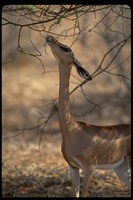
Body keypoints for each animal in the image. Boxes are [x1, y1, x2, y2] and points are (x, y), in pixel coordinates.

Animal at [45, 35, 130, 196]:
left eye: (66, 48)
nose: (49, 37)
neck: (72, 130)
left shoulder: (89, 167)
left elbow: (84, 194)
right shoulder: (73, 167)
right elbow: (75, 193)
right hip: (121, 169)